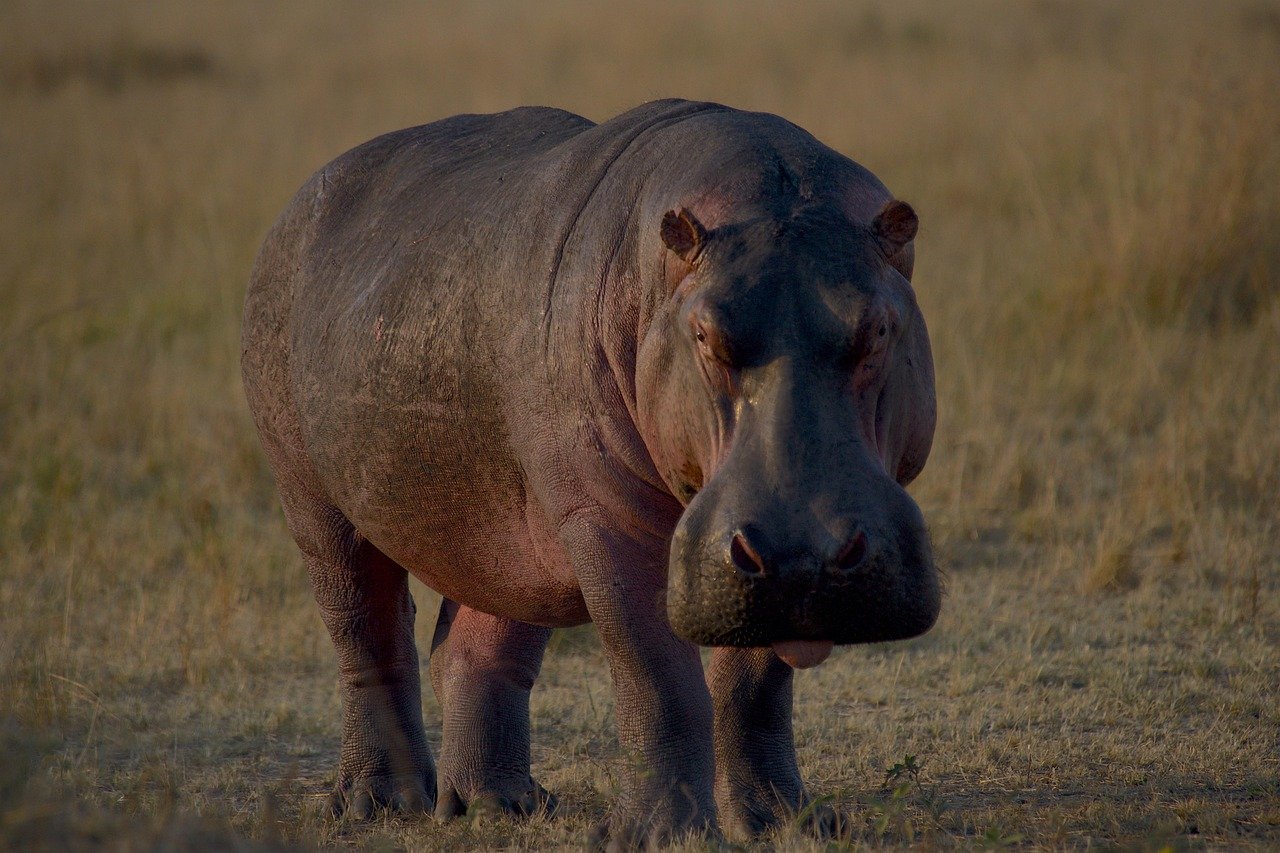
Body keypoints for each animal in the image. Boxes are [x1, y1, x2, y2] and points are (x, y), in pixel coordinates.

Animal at [241, 98, 939, 845]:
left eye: (880, 328)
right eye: (703, 334)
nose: (806, 552)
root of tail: (297, 205)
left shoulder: (763, 566)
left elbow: (755, 684)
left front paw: (787, 822)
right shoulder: (606, 515)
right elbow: (657, 675)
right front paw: (659, 835)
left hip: (506, 523)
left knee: (476, 646)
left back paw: (499, 804)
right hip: (313, 499)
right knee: (368, 633)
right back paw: (380, 802)